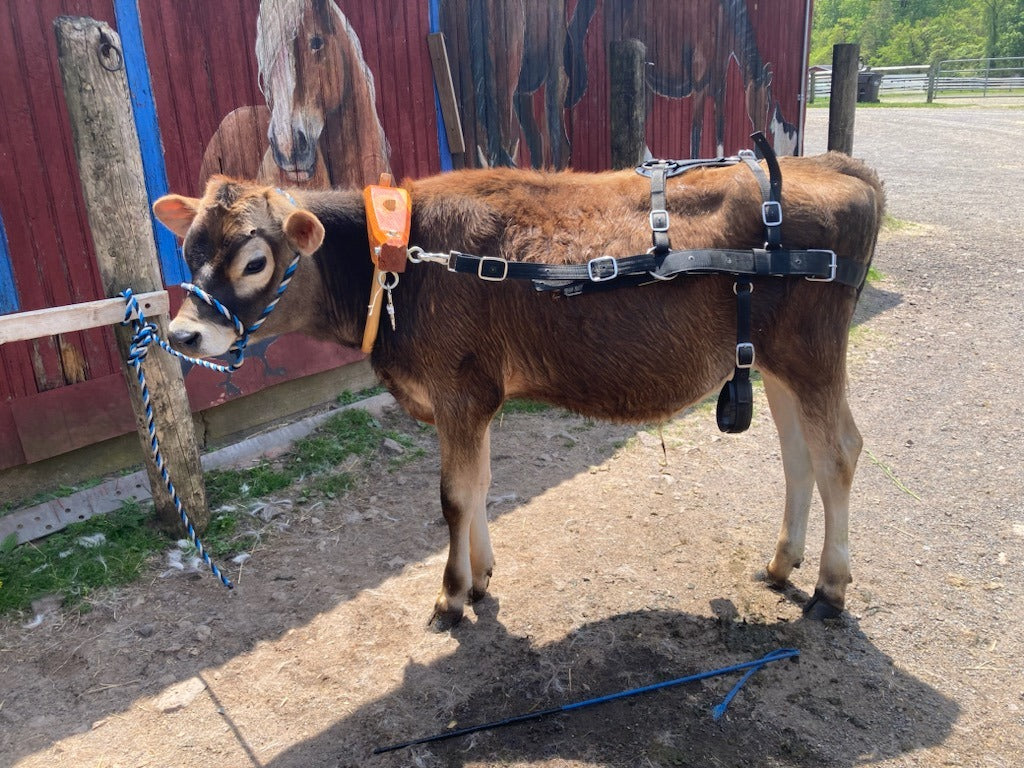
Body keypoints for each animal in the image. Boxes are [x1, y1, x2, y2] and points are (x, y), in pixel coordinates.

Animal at [152, 152, 884, 629]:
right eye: (188, 250)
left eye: (255, 260)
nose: (184, 334)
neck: (403, 263)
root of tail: (834, 163)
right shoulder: (473, 398)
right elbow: (477, 486)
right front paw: (480, 579)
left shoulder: (458, 389)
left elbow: (454, 496)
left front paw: (451, 598)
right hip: (776, 362)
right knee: (798, 458)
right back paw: (782, 564)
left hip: (813, 355)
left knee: (839, 453)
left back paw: (829, 588)